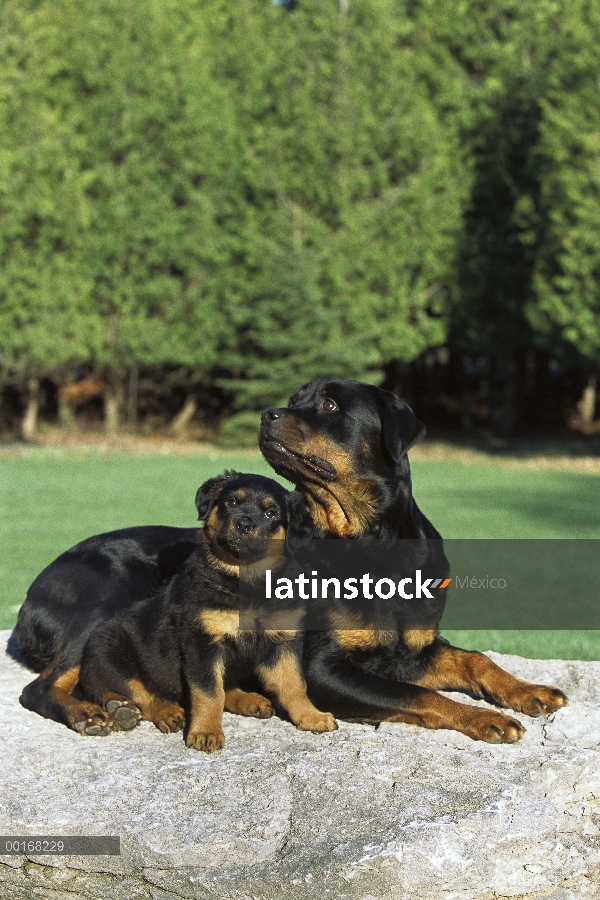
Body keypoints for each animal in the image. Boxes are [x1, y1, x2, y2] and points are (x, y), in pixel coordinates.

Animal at [75, 468, 338, 748]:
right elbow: (209, 692)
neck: (246, 580)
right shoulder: (202, 642)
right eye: (231, 502)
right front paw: (206, 732)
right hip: (110, 652)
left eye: (270, 513)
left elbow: (294, 684)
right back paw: (158, 711)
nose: (244, 524)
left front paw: (311, 716)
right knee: (139, 693)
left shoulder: (283, 640)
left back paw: (249, 700)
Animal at [258, 376, 568, 740]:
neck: (372, 542)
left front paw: (530, 690)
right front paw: (482, 717)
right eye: (293, 401)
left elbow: (474, 658)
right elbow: (419, 694)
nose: (267, 413)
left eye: (329, 405)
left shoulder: (414, 651)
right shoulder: (322, 670)